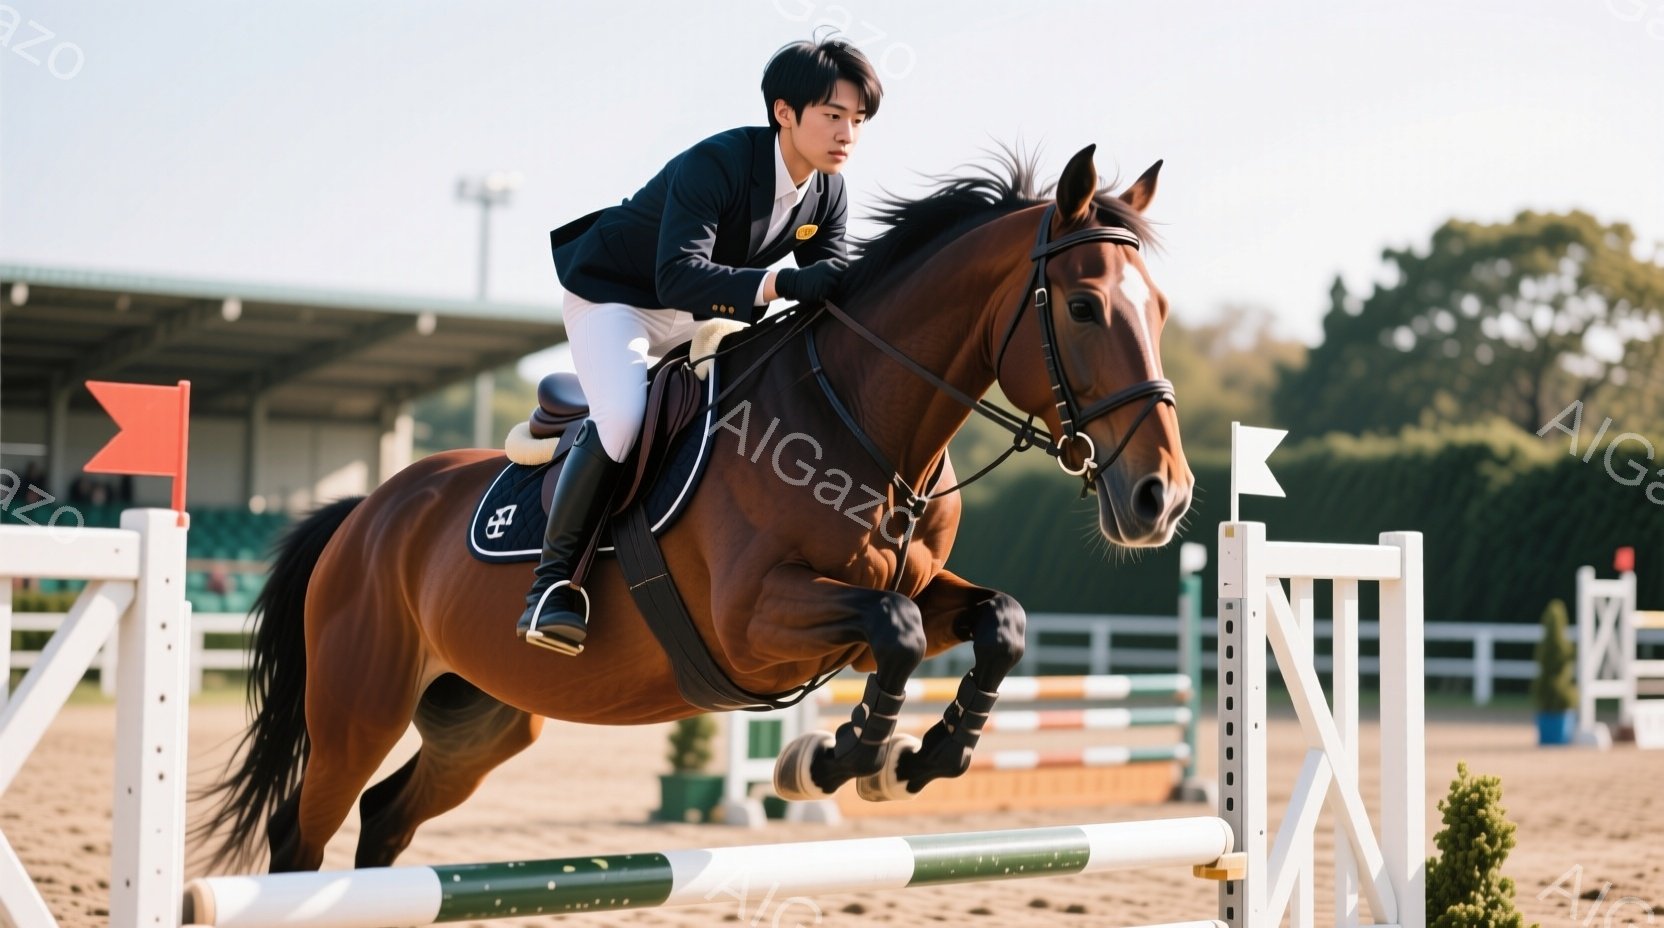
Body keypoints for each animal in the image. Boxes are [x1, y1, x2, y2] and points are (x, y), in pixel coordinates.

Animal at [196, 143, 1194, 874]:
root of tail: (365, 511)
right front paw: (834, 761)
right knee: (304, 832)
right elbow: (898, 630)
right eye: (1084, 307)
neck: (857, 417)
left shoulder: (913, 584)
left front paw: (924, 758)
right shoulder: (752, 620)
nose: (1164, 498)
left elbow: (1001, 621)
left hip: (481, 717)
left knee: (388, 817)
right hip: (358, 707)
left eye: (1161, 309)